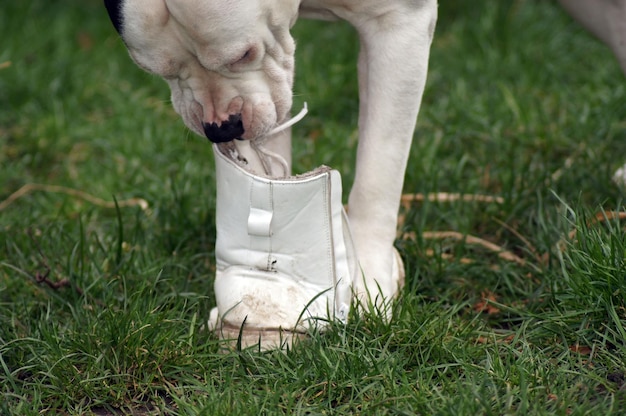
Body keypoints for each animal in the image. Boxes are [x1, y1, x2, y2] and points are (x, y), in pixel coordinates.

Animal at [103, 0, 624, 348]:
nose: (221, 127)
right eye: (158, 70)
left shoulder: (398, 24)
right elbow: (271, 153)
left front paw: (371, 281)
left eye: (242, 55)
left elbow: (379, 169)